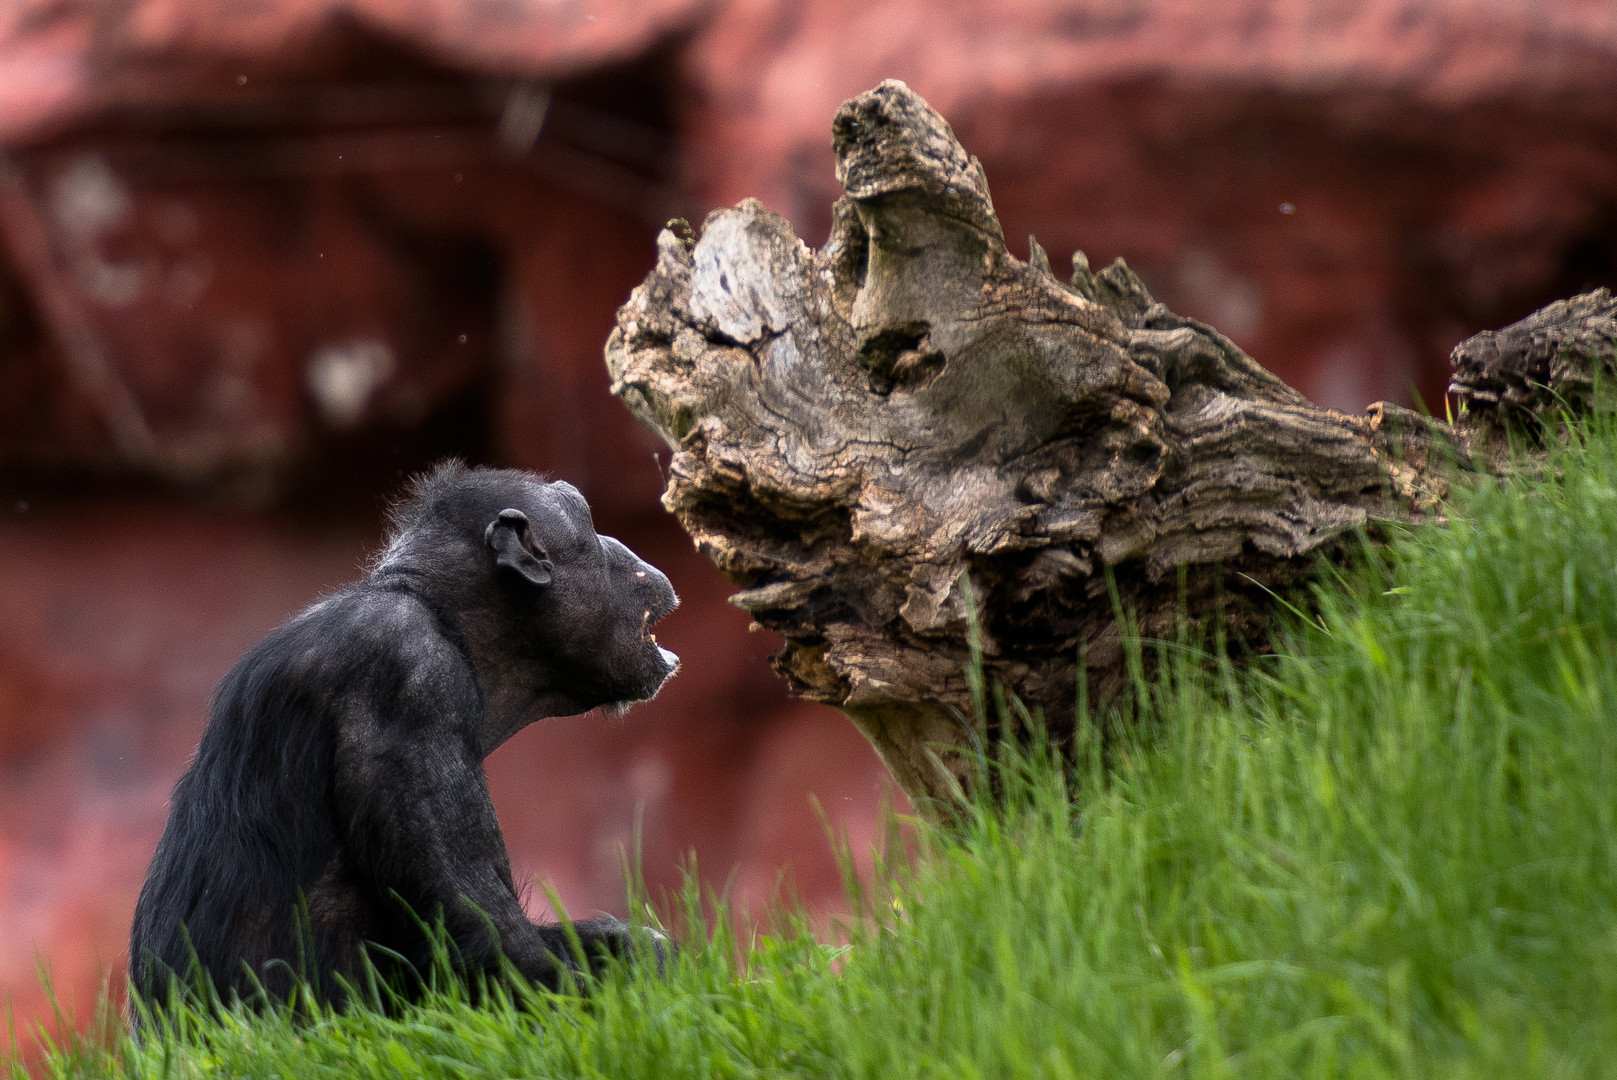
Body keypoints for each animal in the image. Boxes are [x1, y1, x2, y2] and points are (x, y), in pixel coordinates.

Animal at [127, 465, 675, 1015]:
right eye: (588, 521)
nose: (621, 545)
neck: (445, 619)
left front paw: (637, 945)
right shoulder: (410, 680)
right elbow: (484, 929)